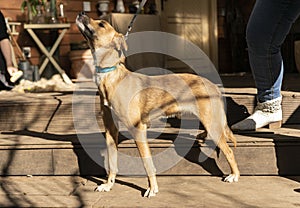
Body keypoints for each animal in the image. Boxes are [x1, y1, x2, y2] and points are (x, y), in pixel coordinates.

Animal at [76, 12, 240, 197]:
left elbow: (147, 163)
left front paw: (152, 188)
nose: (81, 13)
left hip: (212, 126)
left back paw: (234, 175)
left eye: (102, 24)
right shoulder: (111, 130)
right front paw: (108, 185)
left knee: (229, 152)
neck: (111, 76)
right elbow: (112, 162)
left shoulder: (138, 129)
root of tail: (213, 85)